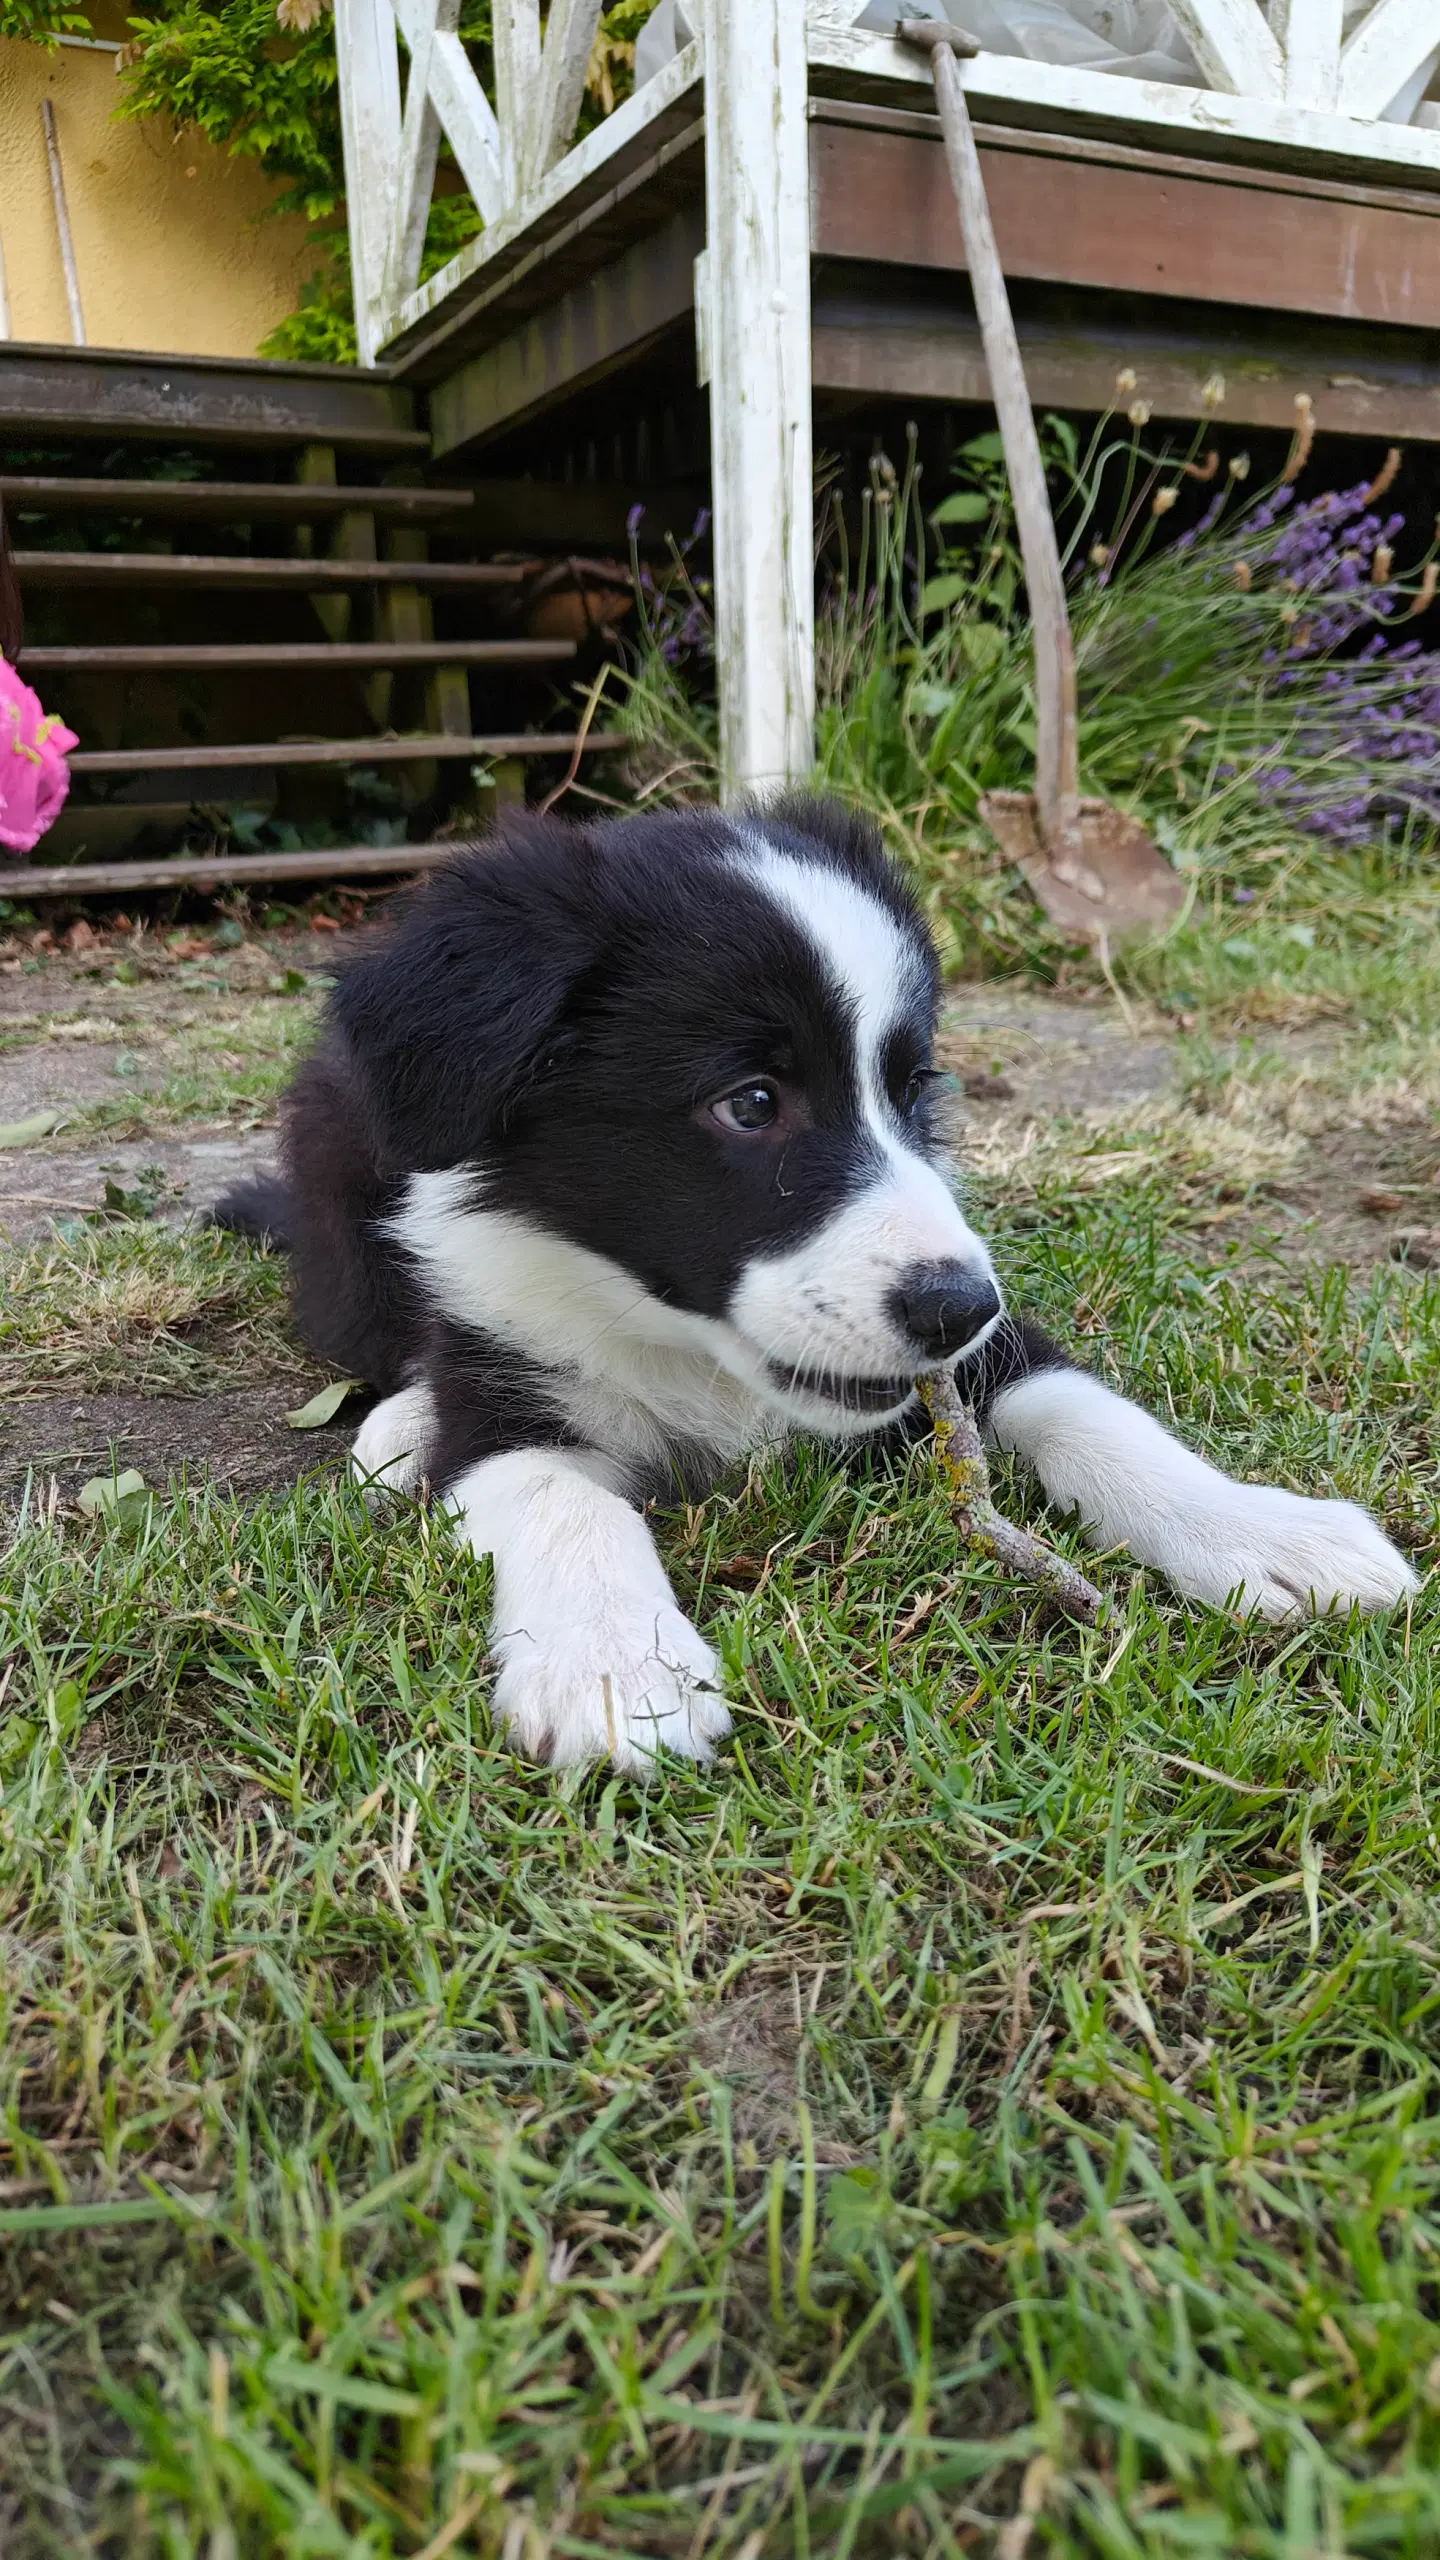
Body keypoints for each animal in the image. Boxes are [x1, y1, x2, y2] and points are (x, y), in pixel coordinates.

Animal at [212, 803, 1414, 1781]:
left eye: (914, 1086)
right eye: (751, 1103)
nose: (956, 1306)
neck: (689, 1348)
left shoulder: (985, 1355)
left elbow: (1093, 1411)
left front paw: (1268, 1533)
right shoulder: (504, 1383)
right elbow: (566, 1498)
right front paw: (618, 1667)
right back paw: (400, 1427)